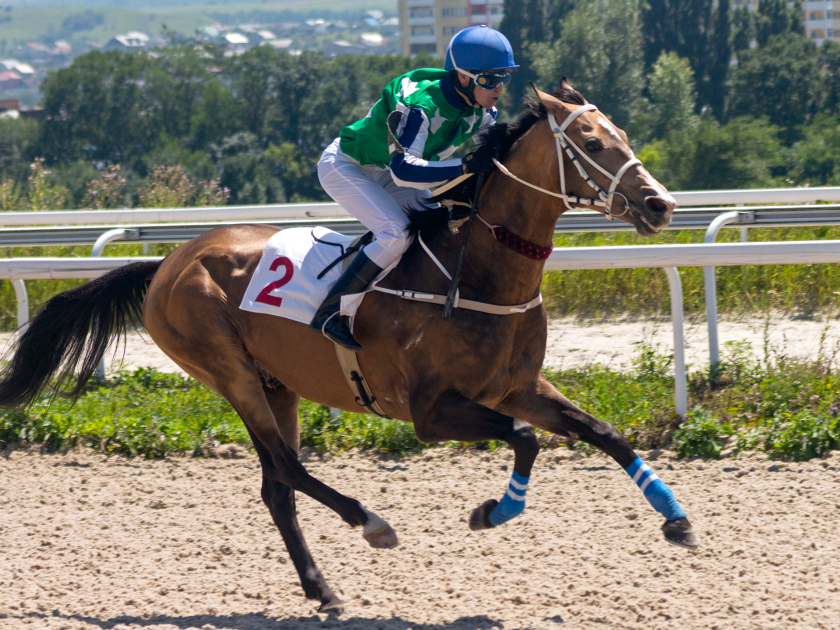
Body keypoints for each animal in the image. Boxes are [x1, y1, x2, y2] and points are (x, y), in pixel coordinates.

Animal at [0, 81, 696, 616]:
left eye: (624, 136)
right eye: (593, 145)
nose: (660, 205)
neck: (478, 273)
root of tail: (169, 261)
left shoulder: (516, 387)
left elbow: (604, 433)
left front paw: (676, 518)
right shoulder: (430, 412)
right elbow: (526, 439)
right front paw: (491, 512)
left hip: (276, 384)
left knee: (276, 486)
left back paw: (322, 589)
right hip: (229, 373)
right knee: (287, 469)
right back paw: (371, 524)